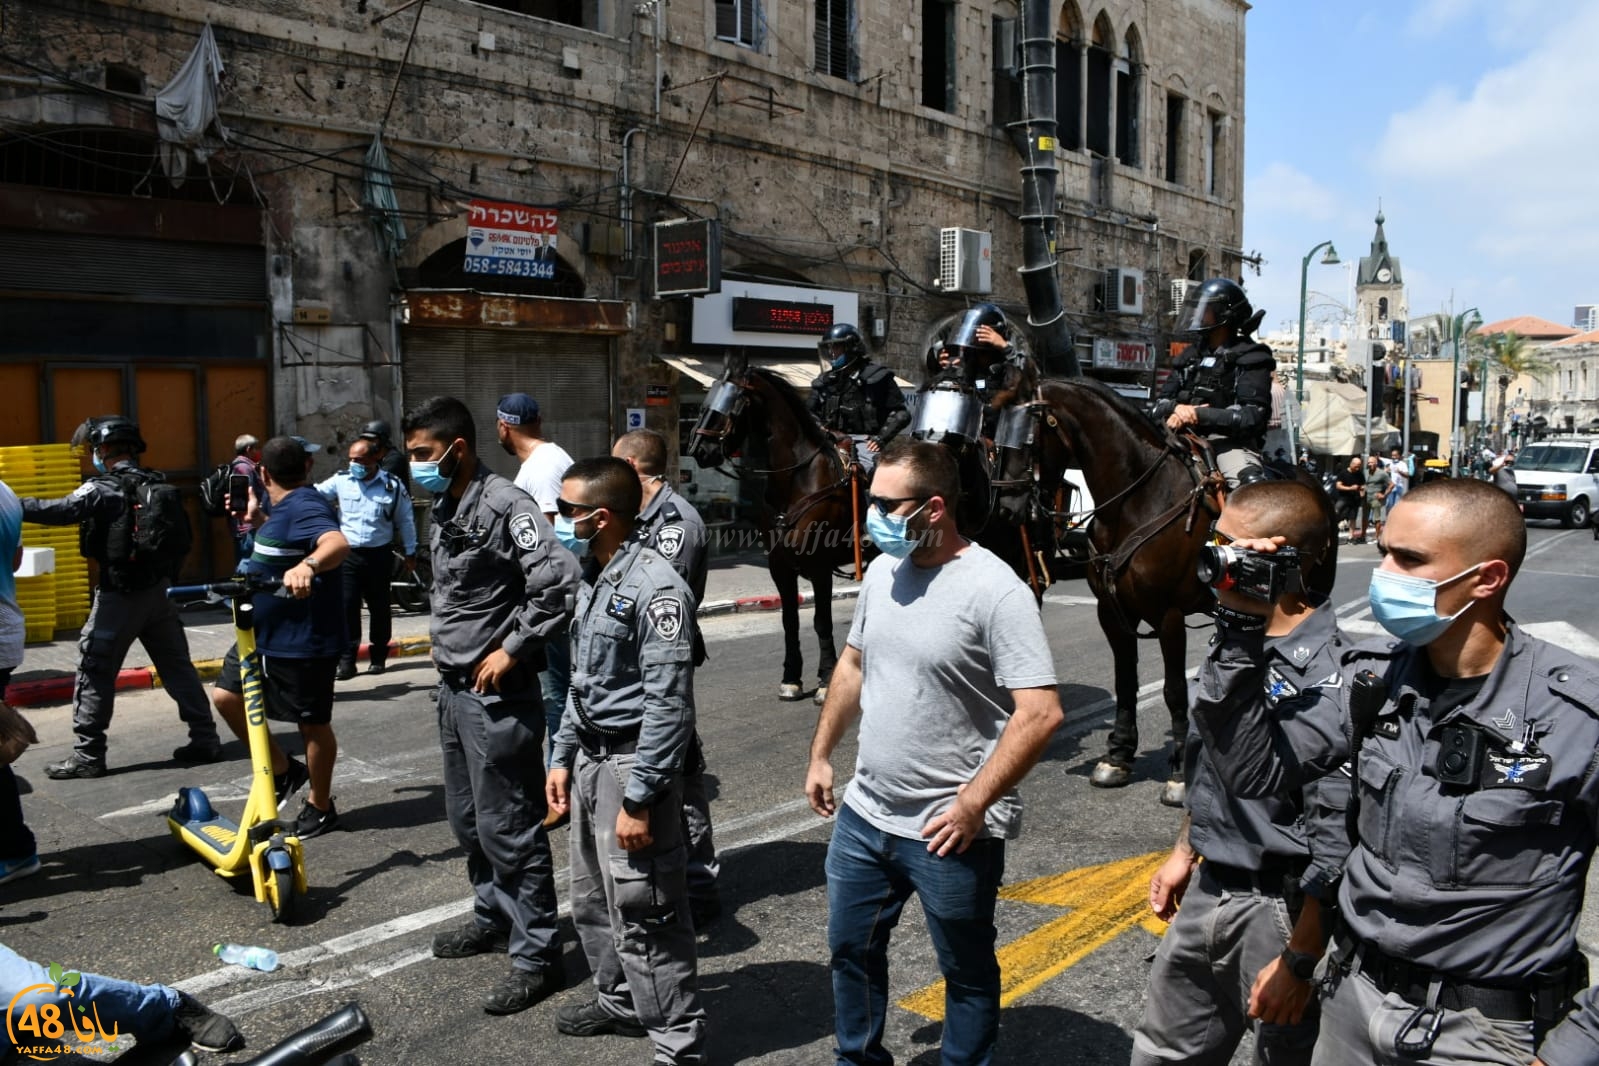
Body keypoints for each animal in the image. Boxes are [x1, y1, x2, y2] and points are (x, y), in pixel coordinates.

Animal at [984, 370, 1336, 805]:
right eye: (993, 426)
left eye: (1027, 433)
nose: (1006, 508)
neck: (1135, 501)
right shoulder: (1111, 612)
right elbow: (1125, 682)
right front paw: (1117, 756)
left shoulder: (1167, 615)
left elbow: (1173, 690)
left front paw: (1180, 774)